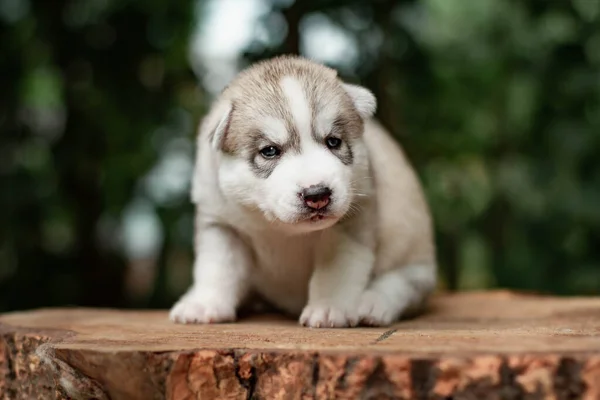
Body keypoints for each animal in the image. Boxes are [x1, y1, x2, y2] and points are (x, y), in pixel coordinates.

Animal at [169, 56, 436, 328]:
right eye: (269, 151)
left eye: (333, 142)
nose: (317, 195)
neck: (279, 229)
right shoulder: (221, 224)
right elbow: (218, 267)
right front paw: (205, 304)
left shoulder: (351, 220)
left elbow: (336, 271)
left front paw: (329, 308)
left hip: (414, 256)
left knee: (402, 284)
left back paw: (373, 303)